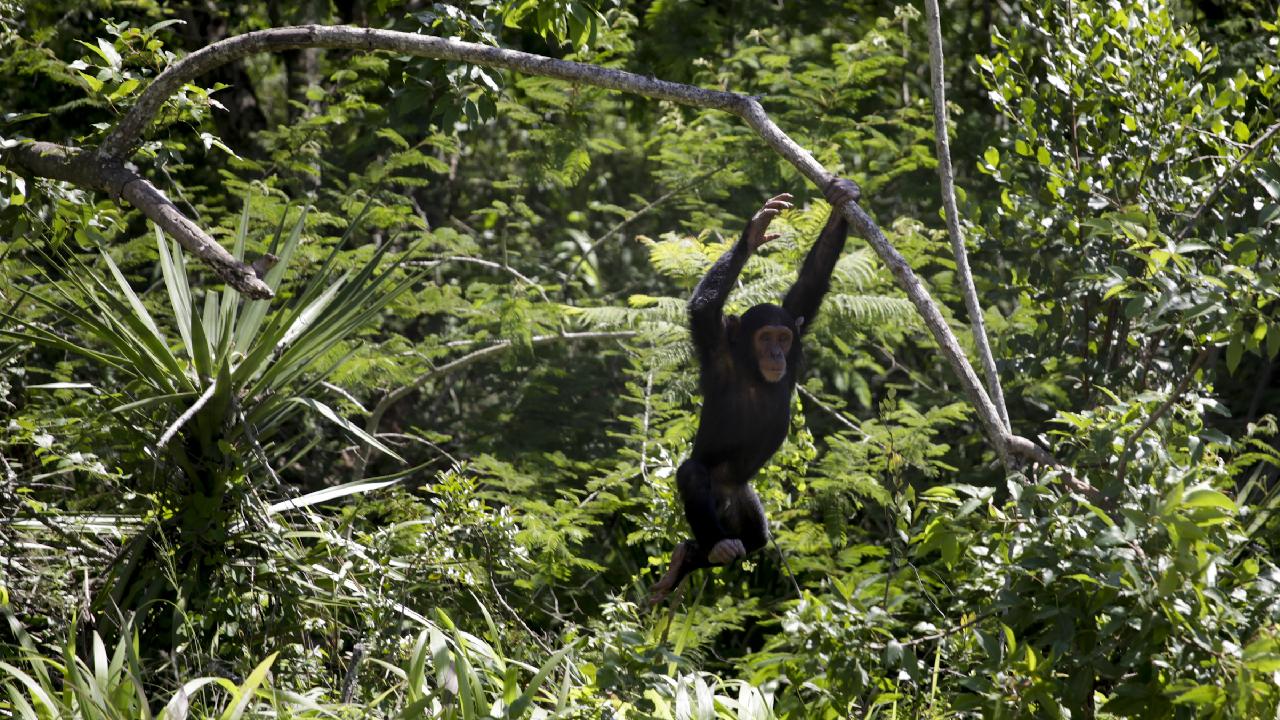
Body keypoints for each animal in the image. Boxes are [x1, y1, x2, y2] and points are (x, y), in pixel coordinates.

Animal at [650, 175, 860, 599]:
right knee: (692, 474)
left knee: (757, 539)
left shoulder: (798, 324)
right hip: (715, 501)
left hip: (743, 498)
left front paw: (840, 198)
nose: (777, 353)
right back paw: (712, 548)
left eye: (782, 337)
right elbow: (703, 307)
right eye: (765, 338)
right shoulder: (714, 345)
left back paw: (689, 560)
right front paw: (754, 230)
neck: (751, 370)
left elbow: (811, 281)